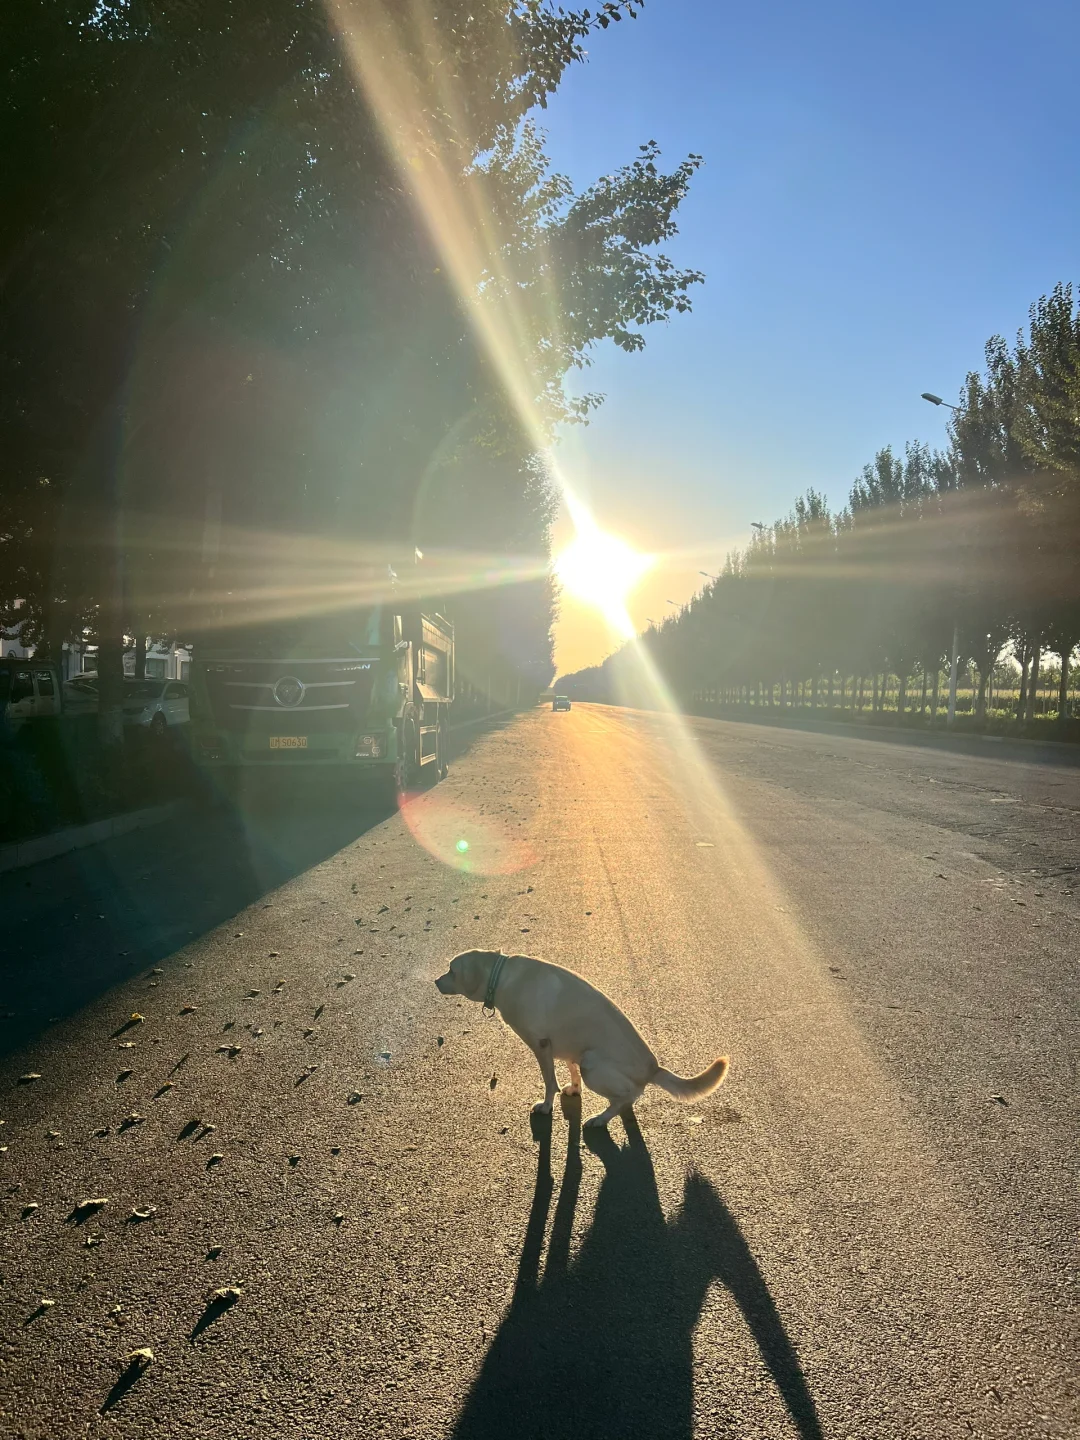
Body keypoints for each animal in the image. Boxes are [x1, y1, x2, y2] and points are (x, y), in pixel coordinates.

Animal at [434, 950, 731, 1128]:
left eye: (451, 970)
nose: (436, 981)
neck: (501, 976)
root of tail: (654, 1069)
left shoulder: (542, 1045)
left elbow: (549, 1082)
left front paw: (546, 1107)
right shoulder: (566, 1045)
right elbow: (570, 1069)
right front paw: (574, 1090)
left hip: (594, 1065)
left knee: (626, 1097)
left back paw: (600, 1119)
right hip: (587, 1057)